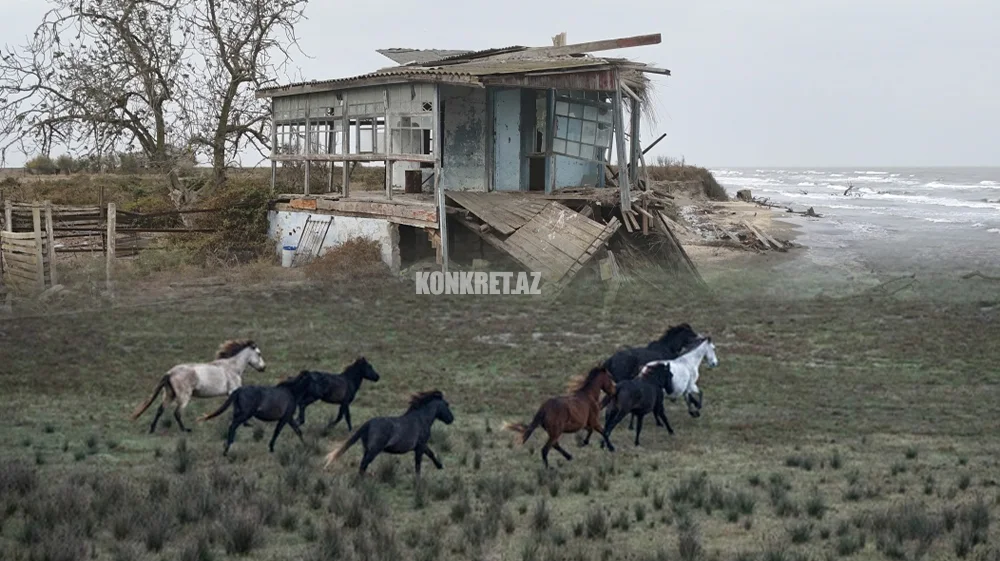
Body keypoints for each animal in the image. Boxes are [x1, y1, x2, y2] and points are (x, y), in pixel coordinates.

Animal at [131, 336, 268, 434]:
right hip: (184, 397)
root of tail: (170, 372)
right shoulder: (233, 390)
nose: (263, 368)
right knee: (177, 413)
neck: (233, 367)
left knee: (160, 409)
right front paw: (247, 424)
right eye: (259, 353)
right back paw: (185, 430)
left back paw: (152, 430)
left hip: (169, 394)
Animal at [324, 390, 454, 476]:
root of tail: (368, 423)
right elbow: (418, 464)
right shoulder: (420, 447)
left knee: (362, 464)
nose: (451, 419)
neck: (421, 419)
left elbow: (431, 454)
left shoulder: (421, 446)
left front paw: (440, 466)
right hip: (374, 450)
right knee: (364, 464)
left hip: (367, 449)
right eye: (446, 404)